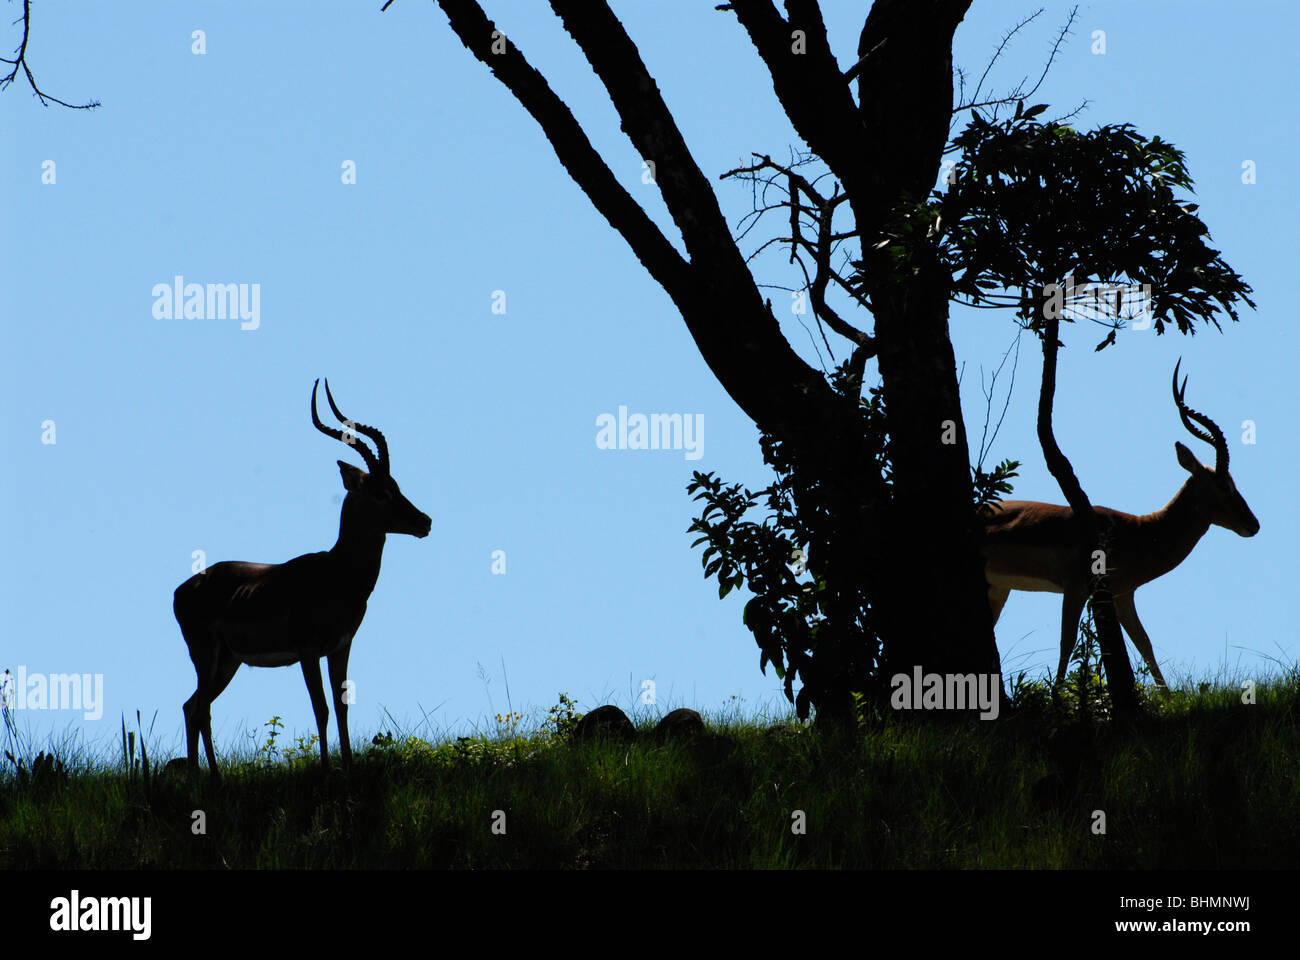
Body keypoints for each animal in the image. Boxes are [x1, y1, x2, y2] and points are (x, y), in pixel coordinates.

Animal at [174, 380, 431, 781]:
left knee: (193, 706)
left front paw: (348, 768)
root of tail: (183, 588)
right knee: (200, 709)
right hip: (206, 654)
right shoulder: (308, 651)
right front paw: (326, 770)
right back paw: (209, 779)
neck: (337, 574)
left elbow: (341, 707)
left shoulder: (341, 646)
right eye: (380, 492)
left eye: (397, 484)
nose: (425, 521)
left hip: (228, 662)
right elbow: (320, 709)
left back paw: (206, 777)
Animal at [981, 362, 1258, 688]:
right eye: (1224, 485)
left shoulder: (1123, 595)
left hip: (998, 588)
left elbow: (1145, 644)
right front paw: (1057, 697)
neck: (1139, 531)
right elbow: (1067, 643)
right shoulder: (1076, 588)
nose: (1253, 524)